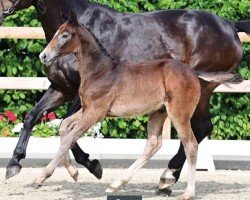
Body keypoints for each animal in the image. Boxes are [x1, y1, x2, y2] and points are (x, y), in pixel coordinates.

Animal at [37, 13, 242, 199]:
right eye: (56, 32)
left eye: (65, 35)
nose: (43, 55)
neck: (99, 71)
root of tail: (193, 72)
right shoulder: (87, 109)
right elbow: (64, 127)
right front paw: (74, 173)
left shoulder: (96, 111)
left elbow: (70, 136)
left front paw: (41, 177)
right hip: (158, 112)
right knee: (153, 144)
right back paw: (117, 184)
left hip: (179, 114)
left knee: (190, 144)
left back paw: (187, 192)